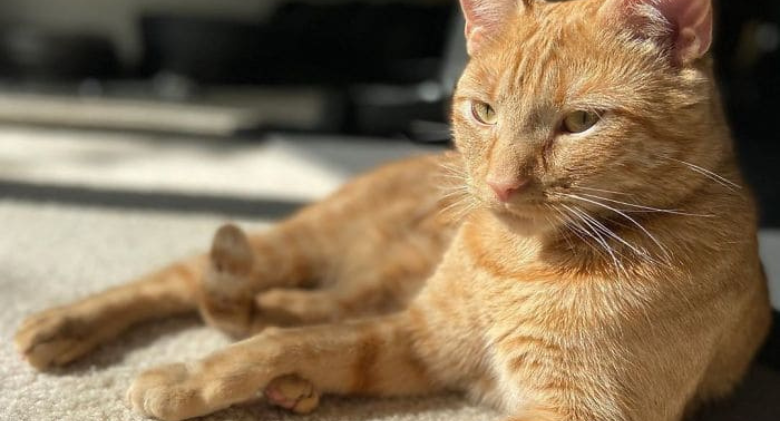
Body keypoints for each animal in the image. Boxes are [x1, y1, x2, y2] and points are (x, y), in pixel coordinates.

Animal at [15, 0, 772, 420]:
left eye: (581, 122)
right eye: (483, 111)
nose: (499, 185)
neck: (519, 262)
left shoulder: (571, 405)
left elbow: (294, 339)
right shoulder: (416, 336)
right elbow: (282, 344)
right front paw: (185, 377)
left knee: (269, 306)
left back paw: (289, 375)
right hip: (305, 242)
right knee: (185, 280)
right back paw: (58, 325)